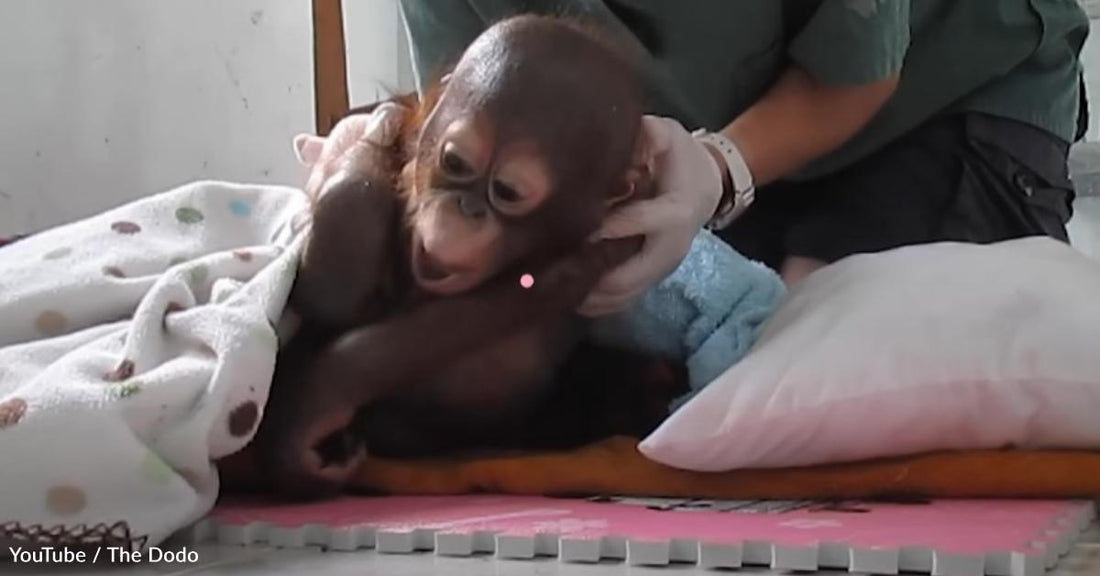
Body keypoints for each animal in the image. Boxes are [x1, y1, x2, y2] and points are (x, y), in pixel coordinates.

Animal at [228, 15, 689, 498]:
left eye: (507, 192)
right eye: (456, 162)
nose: (465, 208)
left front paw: (311, 410)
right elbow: (327, 291)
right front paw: (381, 130)